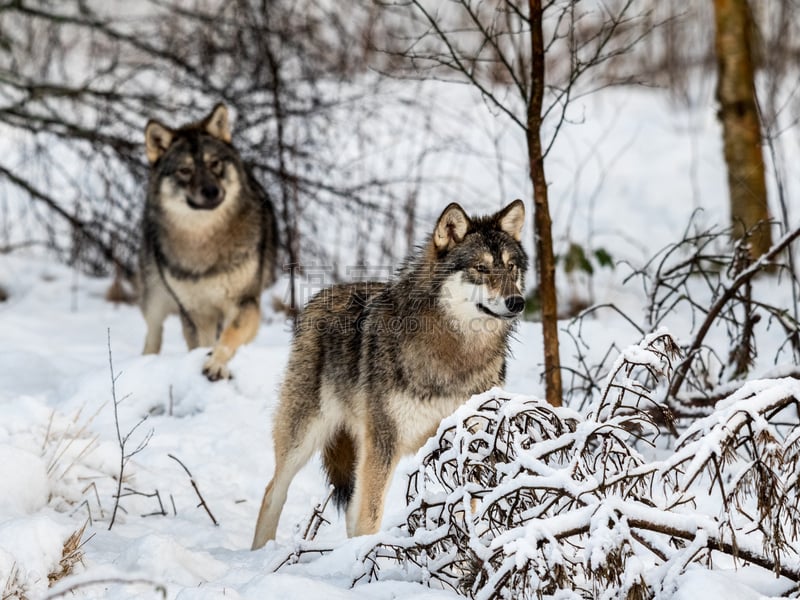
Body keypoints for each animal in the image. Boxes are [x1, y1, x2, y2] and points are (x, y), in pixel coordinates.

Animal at [141, 103, 282, 380]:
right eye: (185, 170)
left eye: (214, 164)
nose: (211, 191)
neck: (205, 241)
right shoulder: (195, 312)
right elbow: (201, 343)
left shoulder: (244, 303)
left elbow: (228, 337)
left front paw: (216, 363)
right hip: (155, 297)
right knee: (153, 333)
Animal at [253, 199, 528, 548]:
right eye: (480, 268)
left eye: (511, 267)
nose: (517, 302)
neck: (456, 354)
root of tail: (321, 294)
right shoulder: (384, 443)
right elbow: (370, 518)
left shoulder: (468, 441)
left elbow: (466, 507)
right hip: (305, 436)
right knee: (272, 492)